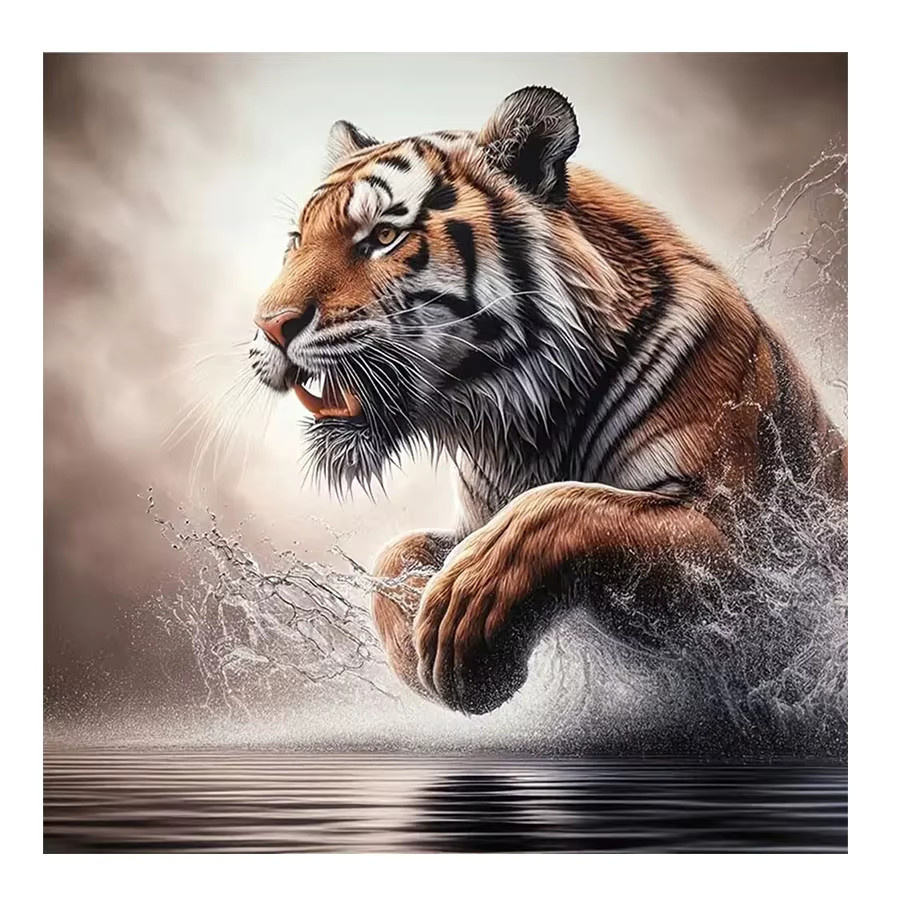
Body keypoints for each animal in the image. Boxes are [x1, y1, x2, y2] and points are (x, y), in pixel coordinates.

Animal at [249, 86, 847, 715]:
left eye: (384, 237)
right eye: (296, 241)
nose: (268, 325)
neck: (522, 420)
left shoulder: (749, 546)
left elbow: (563, 506)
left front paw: (460, 622)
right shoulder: (472, 517)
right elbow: (396, 551)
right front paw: (414, 646)